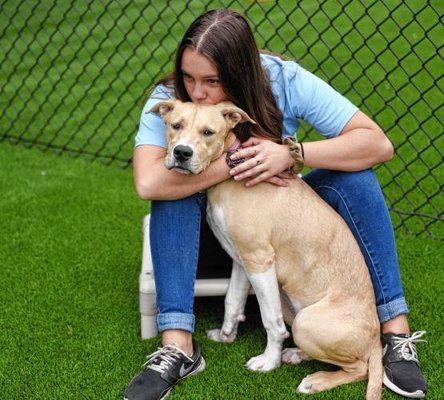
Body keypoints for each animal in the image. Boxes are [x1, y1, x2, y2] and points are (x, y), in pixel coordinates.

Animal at [151, 97, 384, 400]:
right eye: (175, 125)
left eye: (208, 132)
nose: (181, 153)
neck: (227, 178)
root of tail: (377, 336)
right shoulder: (242, 259)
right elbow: (232, 301)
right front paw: (226, 336)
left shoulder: (259, 259)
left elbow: (270, 320)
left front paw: (268, 363)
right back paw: (296, 354)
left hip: (306, 322)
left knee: (360, 368)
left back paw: (315, 380)